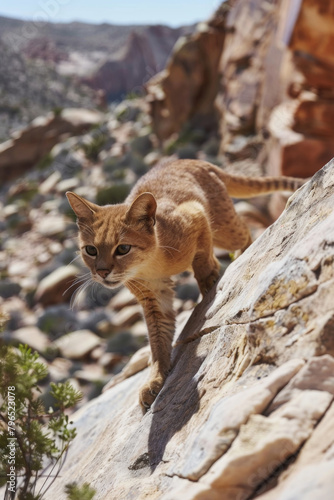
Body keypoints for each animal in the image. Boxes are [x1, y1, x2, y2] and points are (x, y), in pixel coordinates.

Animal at [66, 159, 306, 410]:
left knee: (244, 231)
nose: (102, 272)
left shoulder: (194, 212)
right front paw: (156, 379)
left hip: (225, 228)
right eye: (90, 250)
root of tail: (191, 161)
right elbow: (157, 338)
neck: (152, 263)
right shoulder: (153, 298)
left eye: (122, 248)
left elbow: (201, 257)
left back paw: (237, 256)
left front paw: (208, 280)